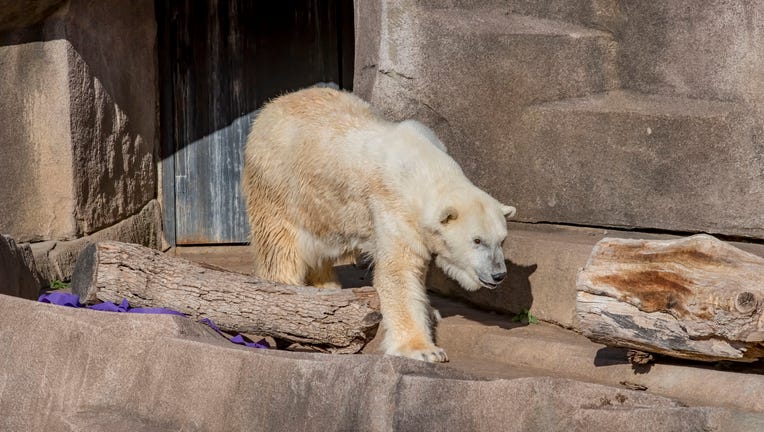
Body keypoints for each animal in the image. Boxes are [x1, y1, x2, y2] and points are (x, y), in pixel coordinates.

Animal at [242, 88, 516, 362]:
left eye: (501, 240)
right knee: (281, 246)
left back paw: (328, 289)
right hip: (279, 184)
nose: (499, 275)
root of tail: (272, 106)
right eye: (477, 240)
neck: (422, 166)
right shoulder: (393, 207)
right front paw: (424, 350)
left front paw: (431, 311)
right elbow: (399, 273)